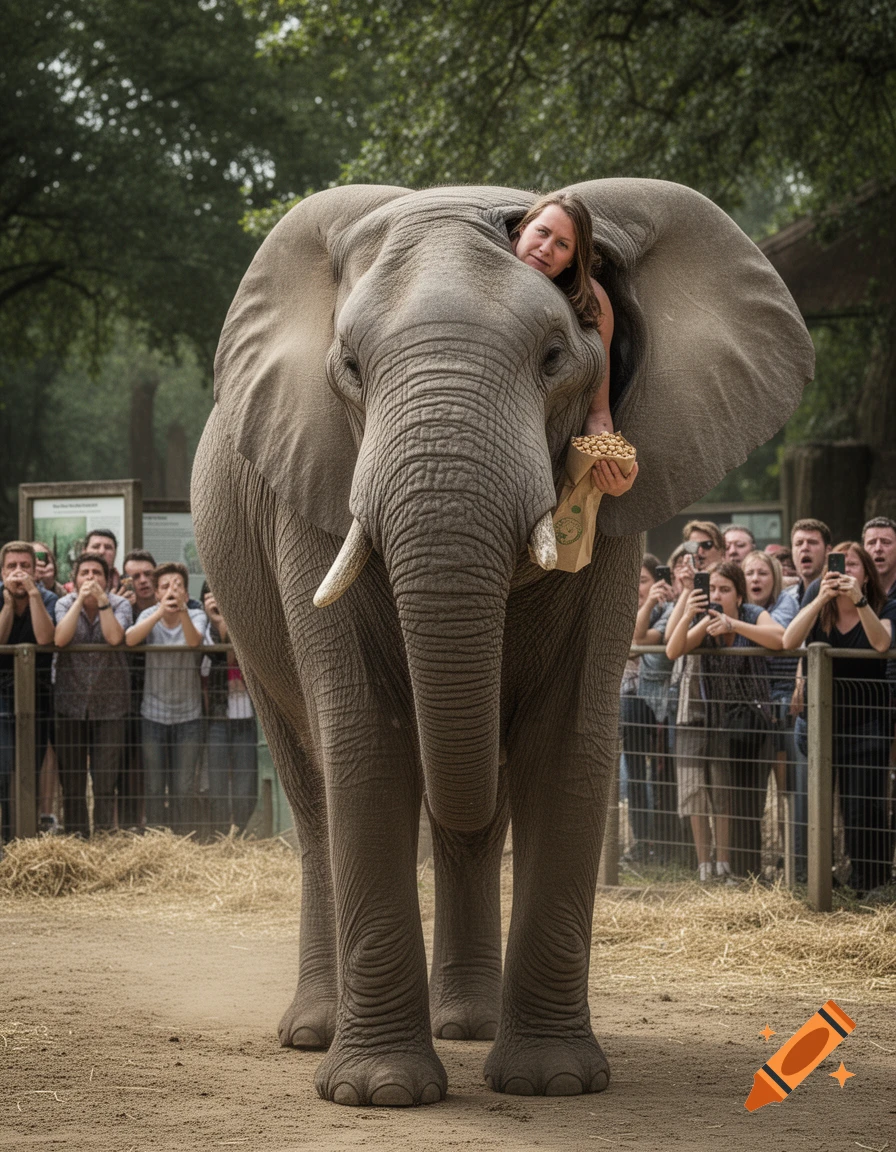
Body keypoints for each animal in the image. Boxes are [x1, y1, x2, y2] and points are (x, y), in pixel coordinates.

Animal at [191, 179, 813, 1107]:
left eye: (556, 358)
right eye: (350, 370)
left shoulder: (616, 528)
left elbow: (566, 745)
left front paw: (552, 1082)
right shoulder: (312, 491)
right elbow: (366, 742)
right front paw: (380, 1093)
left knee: (475, 814)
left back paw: (469, 1025)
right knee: (316, 795)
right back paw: (316, 1035)